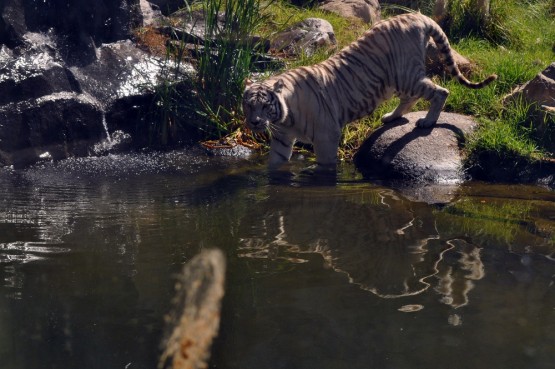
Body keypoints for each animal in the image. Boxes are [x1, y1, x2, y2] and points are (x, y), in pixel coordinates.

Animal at [243, 12, 500, 171]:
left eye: (265, 105)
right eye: (248, 105)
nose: (254, 122)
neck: (285, 118)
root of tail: (416, 15)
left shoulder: (327, 137)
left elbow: (325, 167)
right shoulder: (281, 139)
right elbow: (275, 165)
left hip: (406, 74)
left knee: (439, 91)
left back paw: (427, 122)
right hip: (397, 79)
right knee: (411, 97)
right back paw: (391, 117)